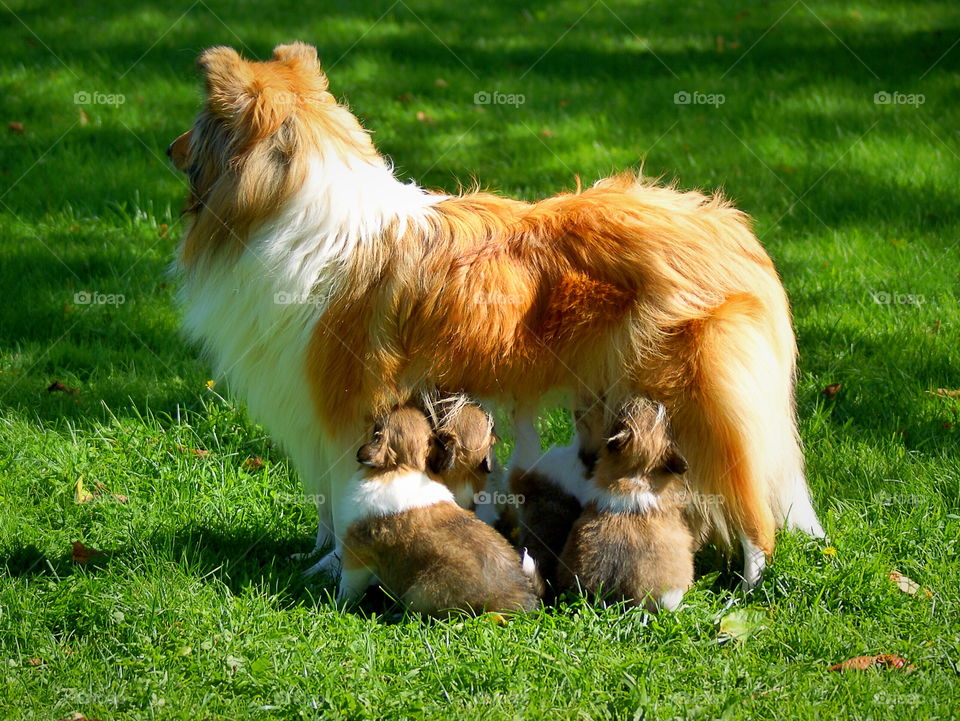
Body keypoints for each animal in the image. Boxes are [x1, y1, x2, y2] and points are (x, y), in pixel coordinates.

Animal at [336, 404, 540, 612]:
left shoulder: (355, 552)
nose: (400, 404)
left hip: (420, 592)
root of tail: (521, 601)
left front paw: (340, 604)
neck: (403, 466)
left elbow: (349, 585)